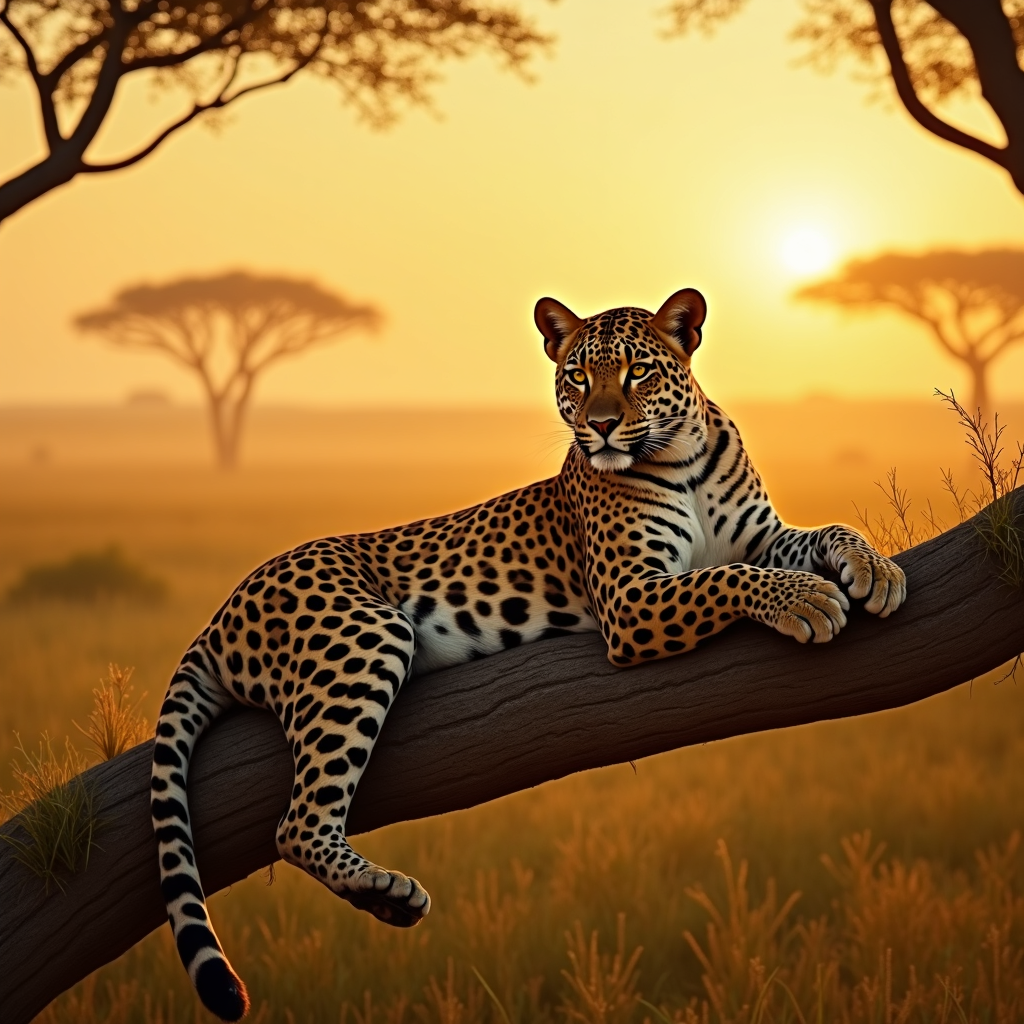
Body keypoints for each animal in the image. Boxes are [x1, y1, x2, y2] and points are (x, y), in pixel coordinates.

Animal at [151, 287, 906, 1020]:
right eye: (577, 376)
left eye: (637, 371)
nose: (601, 425)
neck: (682, 460)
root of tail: (222, 612)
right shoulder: (631, 597)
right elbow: (724, 578)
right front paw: (805, 601)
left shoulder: (762, 537)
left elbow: (824, 533)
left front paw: (874, 570)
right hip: (364, 637)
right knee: (297, 824)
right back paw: (388, 892)